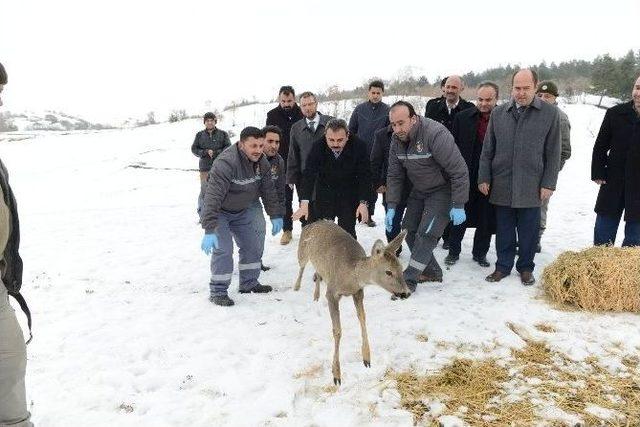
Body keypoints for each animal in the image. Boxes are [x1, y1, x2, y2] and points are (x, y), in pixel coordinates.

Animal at [292, 221, 408, 384]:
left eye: (401, 268)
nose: (406, 292)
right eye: (388, 272)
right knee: (302, 266)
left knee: (317, 272)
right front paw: (336, 375)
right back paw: (296, 287)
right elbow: (337, 330)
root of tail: (312, 223)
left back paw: (316, 296)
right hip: (302, 250)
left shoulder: (358, 292)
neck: (350, 276)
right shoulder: (332, 293)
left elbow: (362, 318)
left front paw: (367, 359)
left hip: (320, 263)